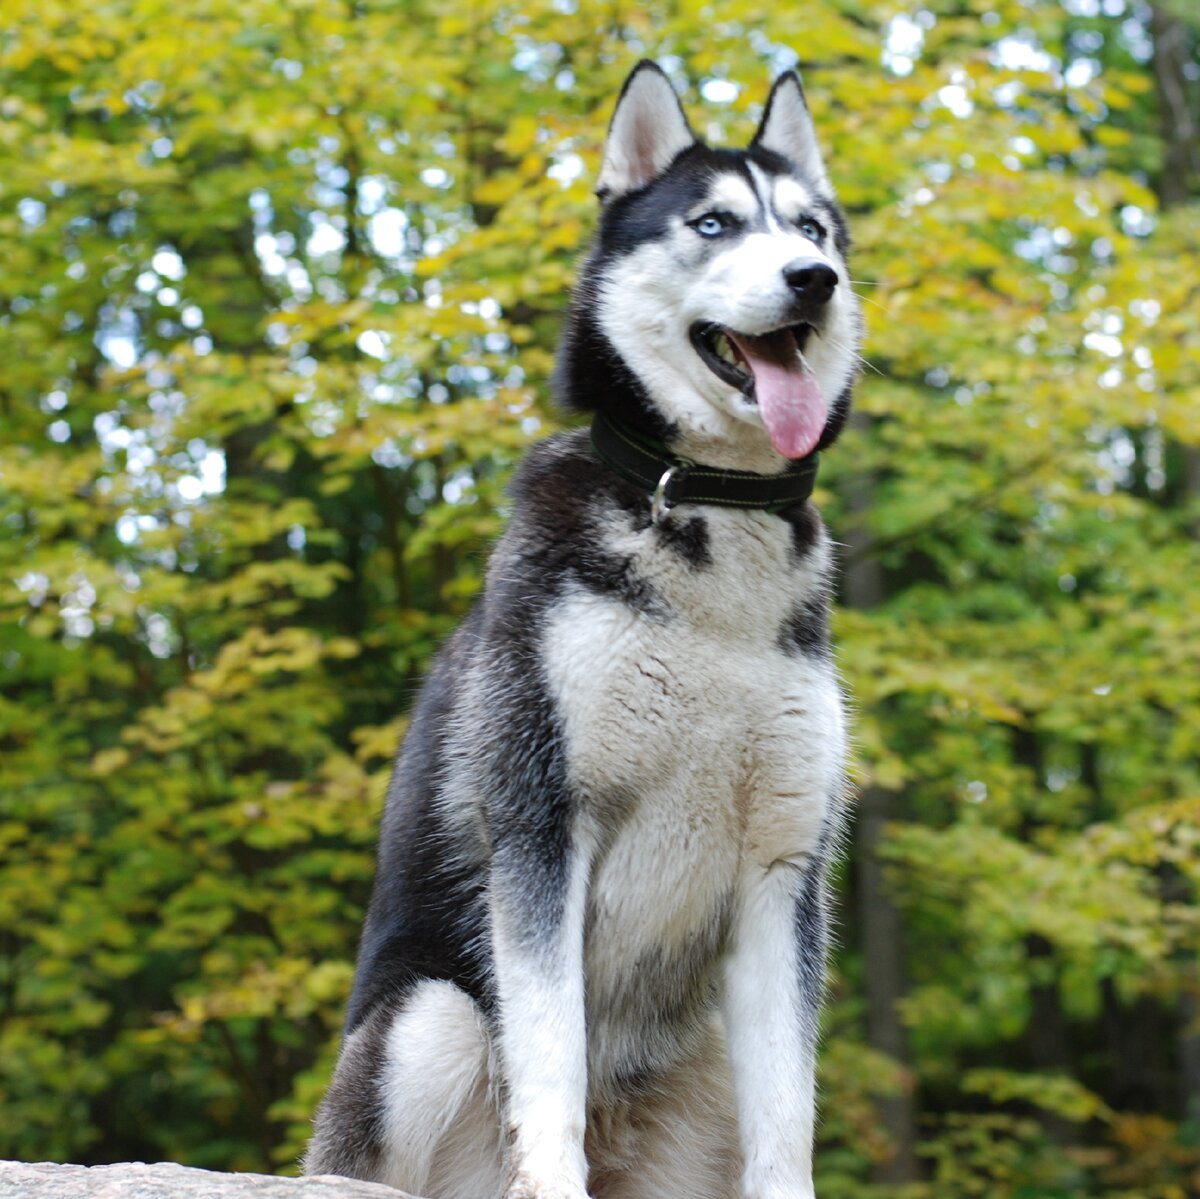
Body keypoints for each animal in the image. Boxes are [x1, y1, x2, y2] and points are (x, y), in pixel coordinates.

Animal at [302, 60, 864, 1199]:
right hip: (429, 1015)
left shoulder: (785, 865)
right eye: (713, 222)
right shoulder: (539, 821)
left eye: (812, 228)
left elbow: (790, 1111)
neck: (713, 508)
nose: (812, 279)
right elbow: (550, 1056)